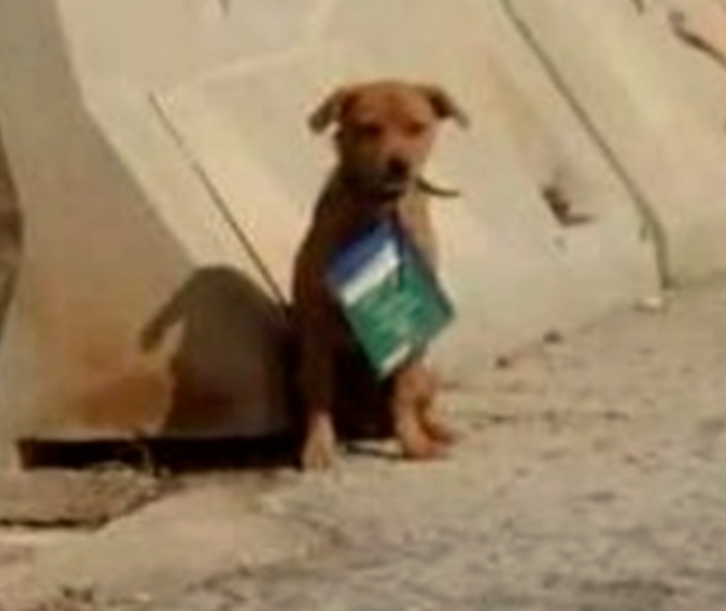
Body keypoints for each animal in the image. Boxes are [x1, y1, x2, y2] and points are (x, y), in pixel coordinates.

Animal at [292, 80, 468, 470]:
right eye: (369, 128)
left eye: (417, 127)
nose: (399, 164)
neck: (381, 211)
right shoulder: (317, 324)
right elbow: (319, 393)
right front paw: (319, 447)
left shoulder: (417, 326)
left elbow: (403, 393)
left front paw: (415, 445)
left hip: (429, 373)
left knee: (417, 401)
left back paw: (435, 430)